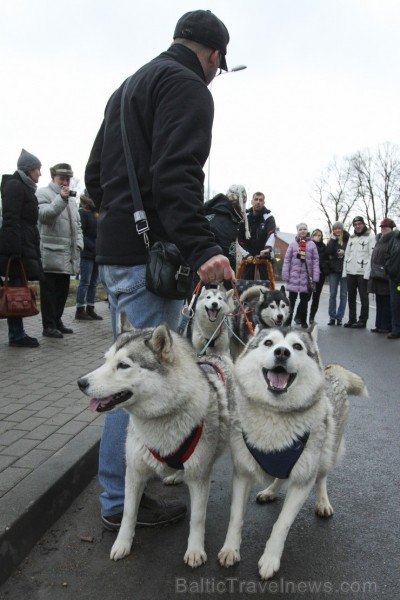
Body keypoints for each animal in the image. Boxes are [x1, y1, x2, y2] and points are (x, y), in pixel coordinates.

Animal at [76, 318, 236, 568]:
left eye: (123, 365)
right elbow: (128, 513)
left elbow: (197, 518)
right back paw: (175, 475)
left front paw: (195, 550)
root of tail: (215, 356)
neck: (161, 418)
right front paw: (122, 543)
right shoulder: (134, 472)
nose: (81, 383)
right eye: (106, 360)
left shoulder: (199, 477)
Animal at [219, 326, 368, 580]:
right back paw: (270, 491)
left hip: (327, 452)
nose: (282, 352)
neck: (274, 416)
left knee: (322, 477)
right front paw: (230, 549)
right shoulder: (242, 473)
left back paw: (322, 502)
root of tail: (329, 371)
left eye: (297, 346)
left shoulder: (302, 481)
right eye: (269, 343)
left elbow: (282, 524)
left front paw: (270, 559)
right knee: (281, 477)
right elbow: (235, 517)